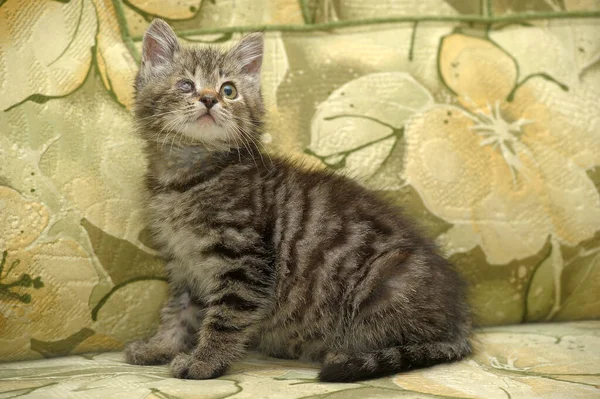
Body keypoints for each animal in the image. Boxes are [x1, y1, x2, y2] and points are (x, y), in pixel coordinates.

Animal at [125, 20, 474, 382]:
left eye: (229, 90)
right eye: (185, 85)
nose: (209, 99)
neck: (188, 178)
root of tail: (460, 322)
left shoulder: (245, 261)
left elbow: (225, 319)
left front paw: (204, 361)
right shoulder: (183, 263)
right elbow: (178, 311)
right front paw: (160, 346)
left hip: (385, 284)